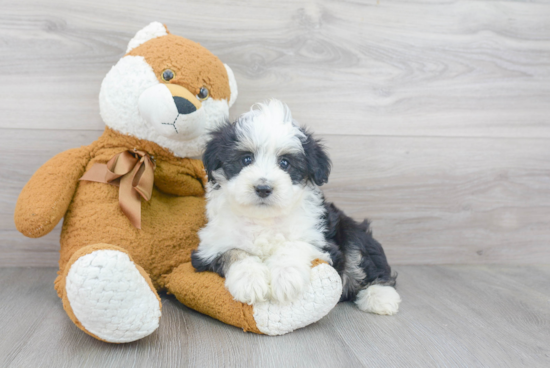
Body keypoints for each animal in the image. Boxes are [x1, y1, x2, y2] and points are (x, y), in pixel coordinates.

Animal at [192, 100, 404, 316]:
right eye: (246, 159)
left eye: (285, 163)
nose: (263, 188)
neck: (264, 219)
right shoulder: (209, 248)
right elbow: (234, 252)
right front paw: (249, 280)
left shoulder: (321, 240)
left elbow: (294, 245)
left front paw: (286, 277)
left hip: (351, 231)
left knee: (361, 258)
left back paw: (380, 296)